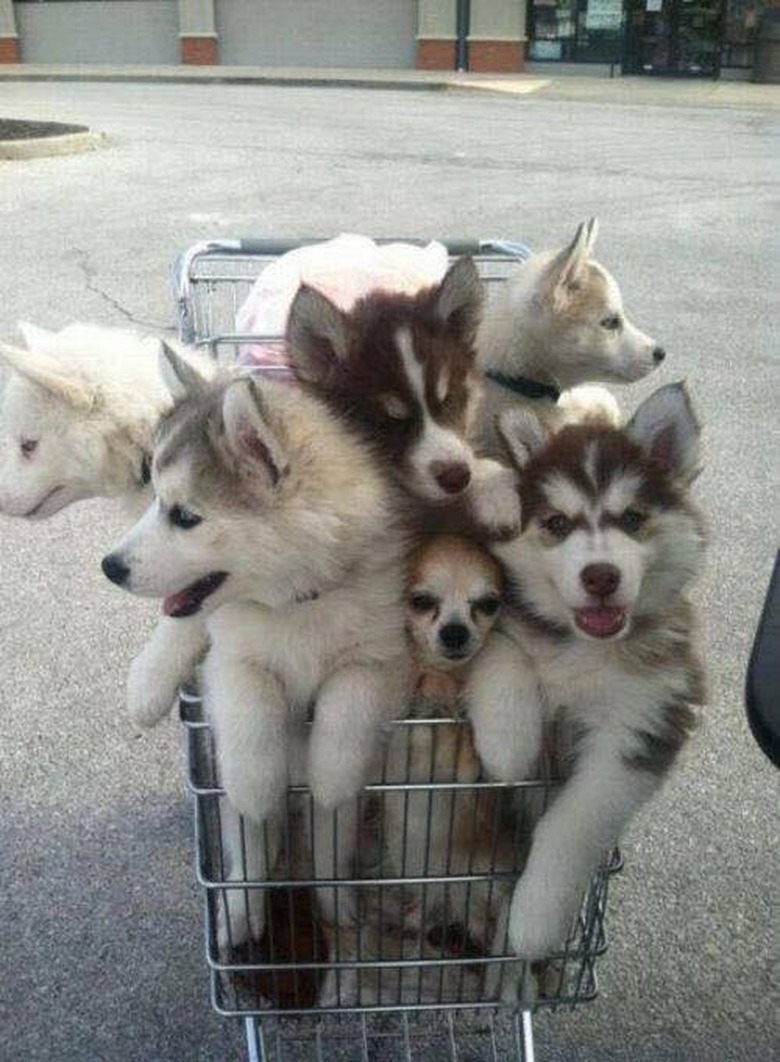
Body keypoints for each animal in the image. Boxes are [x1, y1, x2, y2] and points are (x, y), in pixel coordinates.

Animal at [467, 382, 709, 964]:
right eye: (557, 523)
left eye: (633, 518)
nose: (601, 576)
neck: (586, 649)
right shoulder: (503, 617)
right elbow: (504, 653)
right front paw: (509, 742)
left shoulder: (643, 725)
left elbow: (571, 824)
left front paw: (534, 919)